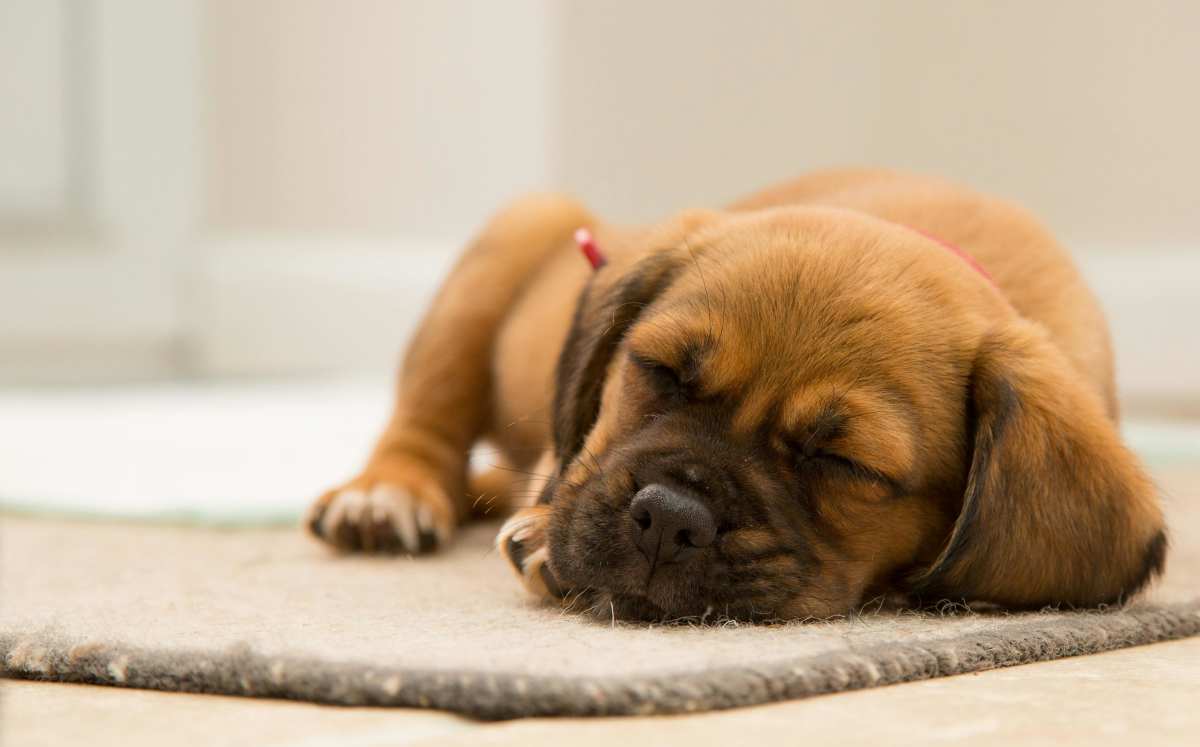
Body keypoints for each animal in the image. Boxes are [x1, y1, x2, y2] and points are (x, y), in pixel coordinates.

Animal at [304, 172, 1166, 624]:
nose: (668, 518)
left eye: (843, 462)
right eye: (658, 371)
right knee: (427, 421)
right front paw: (546, 528)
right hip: (506, 247)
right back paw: (388, 493)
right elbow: (567, 460)